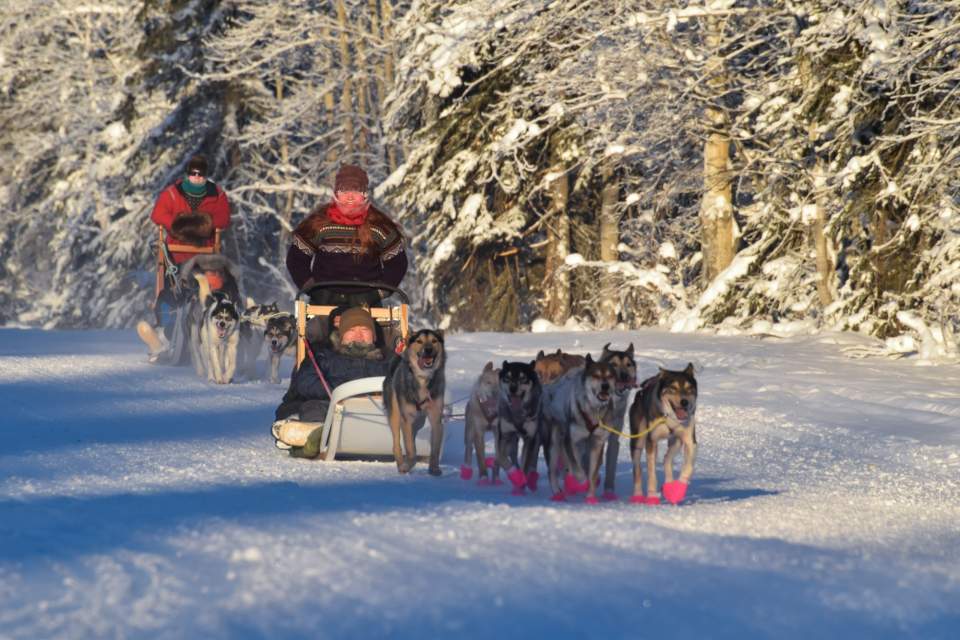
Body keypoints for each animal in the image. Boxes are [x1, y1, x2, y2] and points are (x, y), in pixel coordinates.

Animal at [382, 330, 446, 476]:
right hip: (395, 416)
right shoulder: (406, 419)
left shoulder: (436, 418)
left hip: (418, 421)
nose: (428, 349)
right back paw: (401, 464)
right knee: (396, 445)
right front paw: (407, 465)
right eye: (419, 341)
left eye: (434, 341)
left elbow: (435, 449)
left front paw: (434, 468)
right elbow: (410, 448)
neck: (423, 378)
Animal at [496, 362, 540, 492]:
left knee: (532, 460)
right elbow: (500, 456)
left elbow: (526, 463)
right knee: (513, 457)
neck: (518, 414)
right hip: (512, 442)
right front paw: (516, 476)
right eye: (508, 377)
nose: (513, 388)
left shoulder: (529, 438)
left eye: (522, 378)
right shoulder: (504, 435)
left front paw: (523, 481)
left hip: (536, 439)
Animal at [540, 352, 616, 502]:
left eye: (610, 376)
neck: (593, 409)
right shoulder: (570, 440)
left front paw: (590, 496)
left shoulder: (597, 443)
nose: (605, 386)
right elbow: (576, 467)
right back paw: (557, 492)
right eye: (596, 375)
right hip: (553, 443)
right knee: (552, 471)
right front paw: (581, 480)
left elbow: (592, 473)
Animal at [632, 364, 696, 504]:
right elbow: (651, 473)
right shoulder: (651, 441)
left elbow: (689, 466)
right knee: (637, 468)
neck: (670, 417)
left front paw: (678, 489)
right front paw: (651, 496)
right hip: (638, 441)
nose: (684, 402)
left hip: (676, 442)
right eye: (673, 388)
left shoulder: (690, 440)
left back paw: (669, 484)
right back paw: (637, 495)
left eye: (689, 389)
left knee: (667, 458)